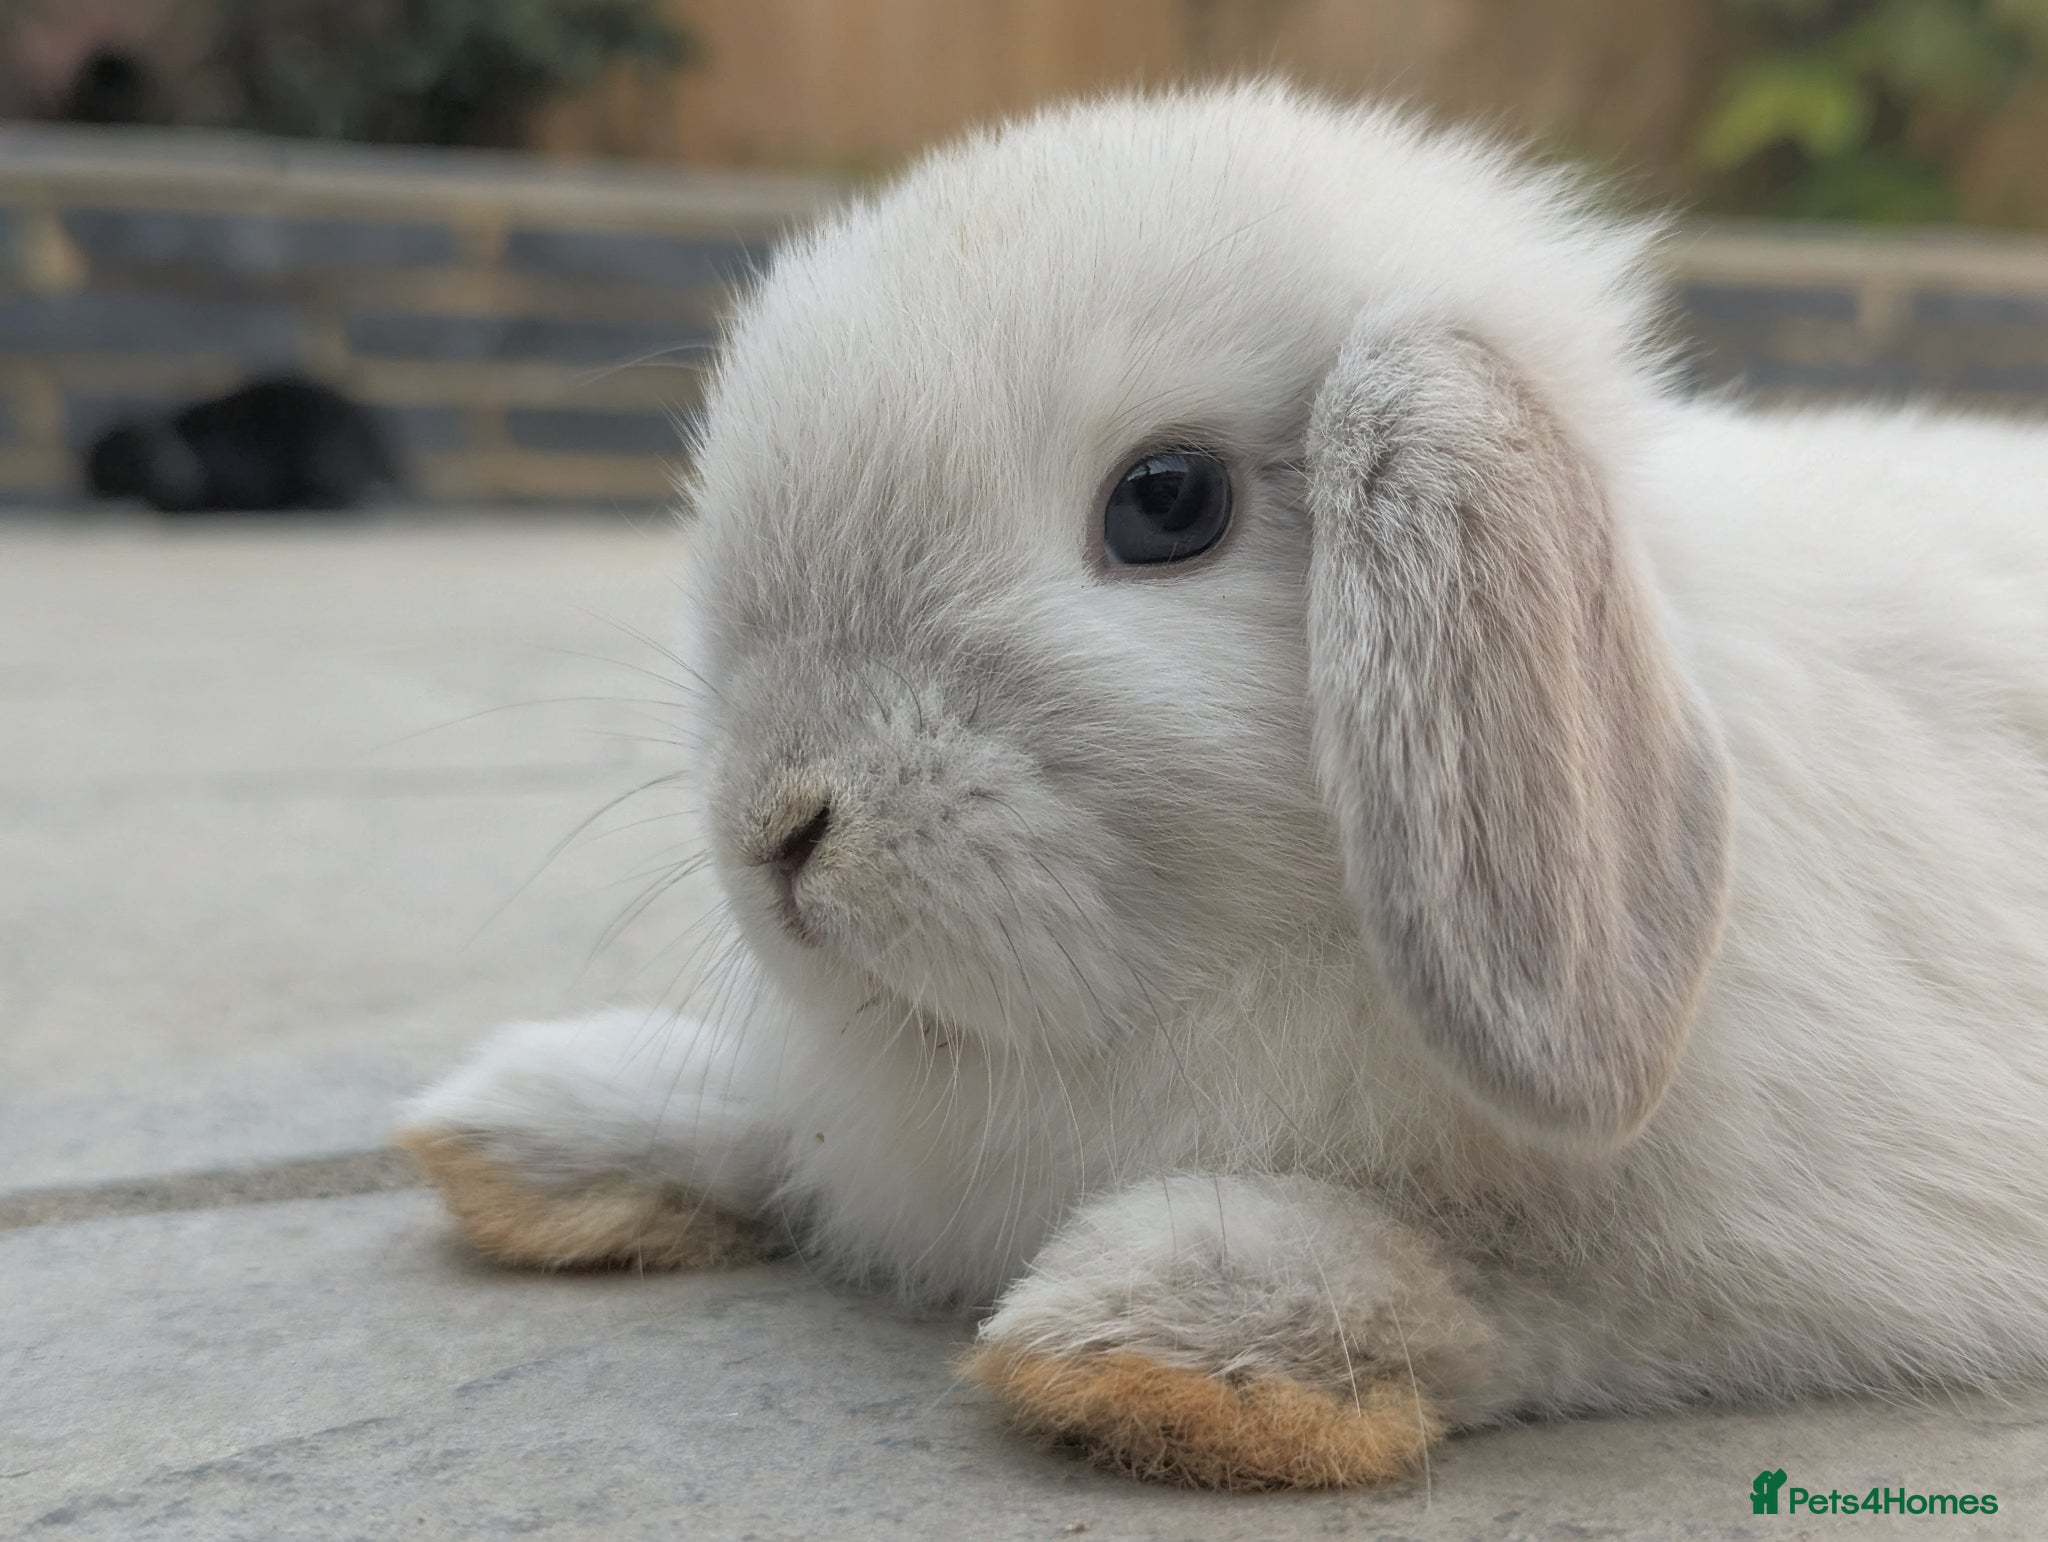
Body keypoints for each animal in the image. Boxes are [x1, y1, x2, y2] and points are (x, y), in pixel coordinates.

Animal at [396, 83, 2048, 1491]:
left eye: (1167, 502)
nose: (777, 829)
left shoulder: (1808, 1248)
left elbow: (1523, 1300)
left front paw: (1171, 1339)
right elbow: (775, 1123)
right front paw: (538, 1120)